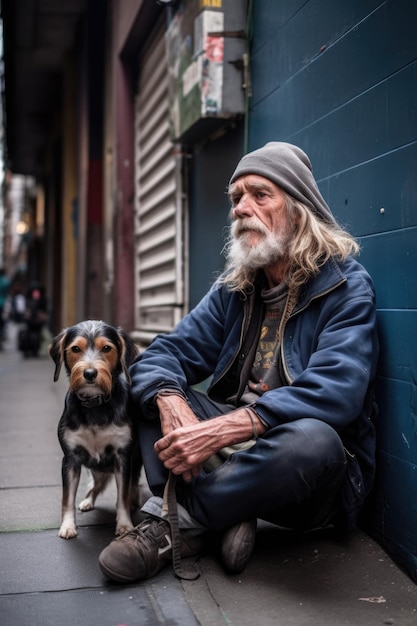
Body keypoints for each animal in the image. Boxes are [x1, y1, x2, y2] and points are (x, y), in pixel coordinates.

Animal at [49, 320, 141, 540]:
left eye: (106, 348)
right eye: (75, 349)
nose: (90, 373)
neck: (95, 406)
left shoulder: (123, 458)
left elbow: (122, 497)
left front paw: (124, 525)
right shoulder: (71, 459)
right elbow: (67, 497)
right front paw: (68, 525)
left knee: (132, 486)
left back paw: (134, 501)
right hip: (96, 470)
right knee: (95, 486)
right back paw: (88, 501)